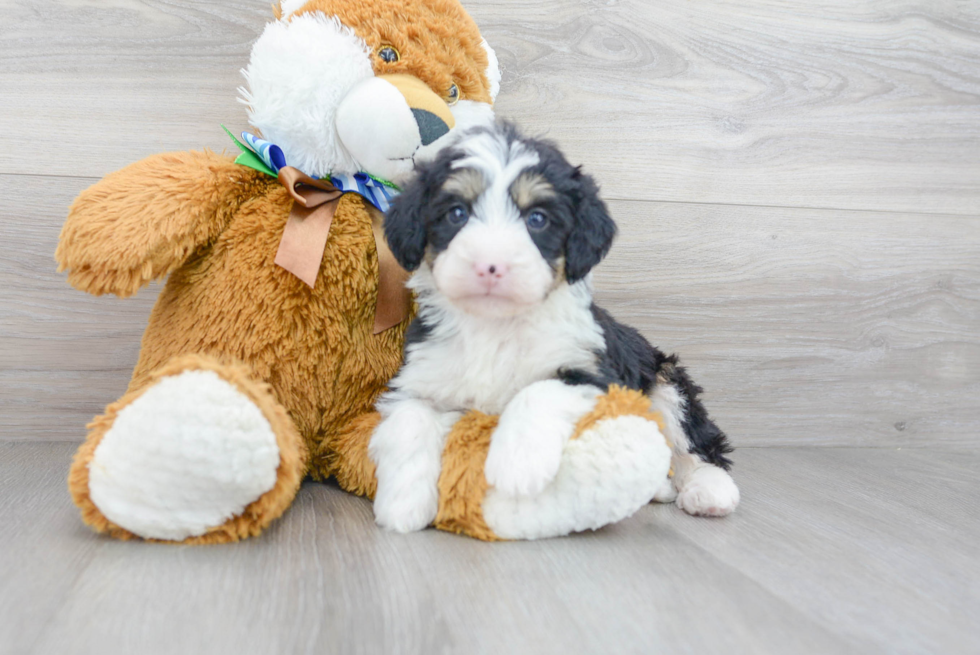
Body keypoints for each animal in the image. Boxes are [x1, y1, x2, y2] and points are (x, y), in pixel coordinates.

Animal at [372, 121, 740, 532]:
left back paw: (709, 491)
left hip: (667, 380)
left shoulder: (596, 374)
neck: (494, 327)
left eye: (537, 219)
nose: (489, 266)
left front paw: (517, 465)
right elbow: (410, 420)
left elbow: (539, 391)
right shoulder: (421, 375)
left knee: (698, 444)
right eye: (456, 213)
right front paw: (402, 505)